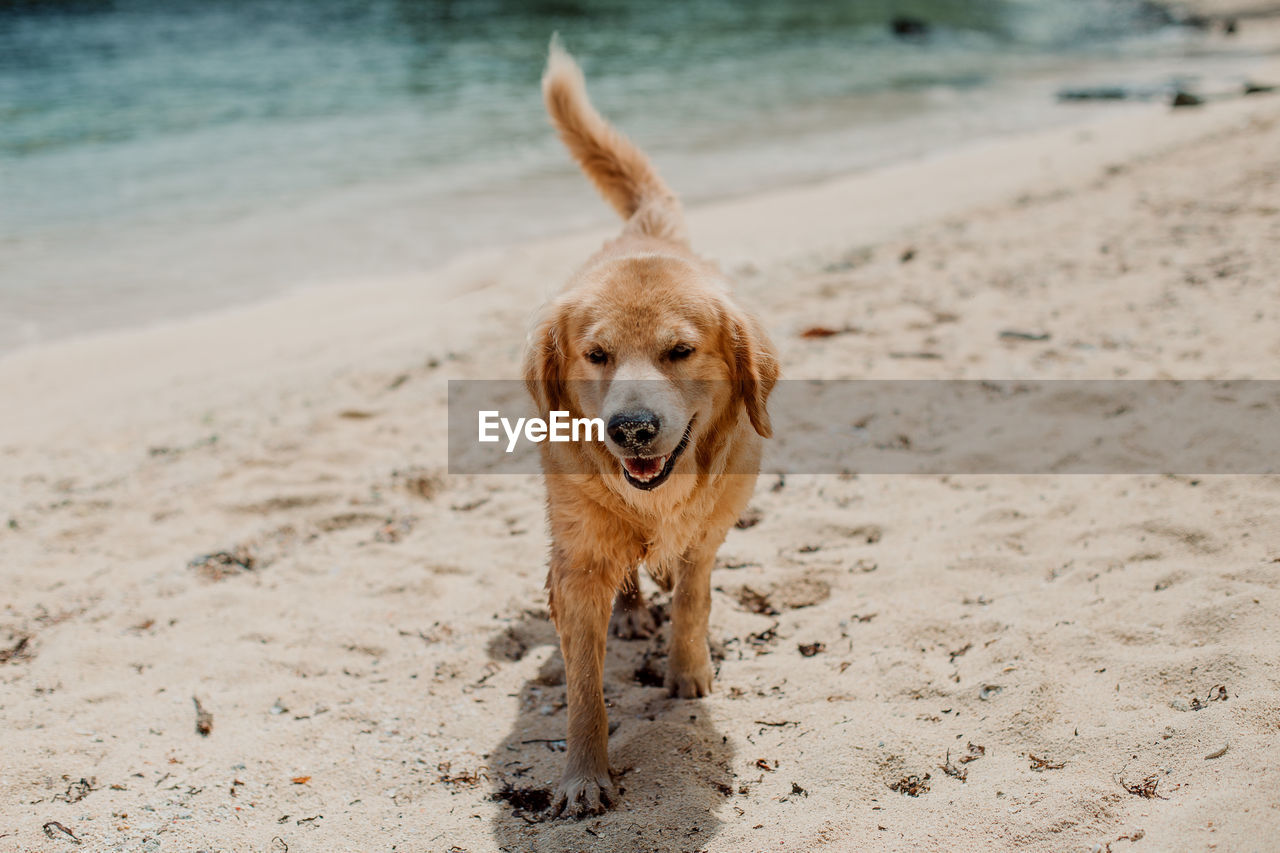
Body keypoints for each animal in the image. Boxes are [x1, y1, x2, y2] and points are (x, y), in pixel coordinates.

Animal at [522, 36, 778, 814]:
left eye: (680, 350)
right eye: (597, 354)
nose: (632, 427)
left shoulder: (709, 528)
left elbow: (694, 595)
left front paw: (688, 671)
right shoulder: (577, 563)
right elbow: (584, 686)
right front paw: (583, 775)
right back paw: (633, 608)